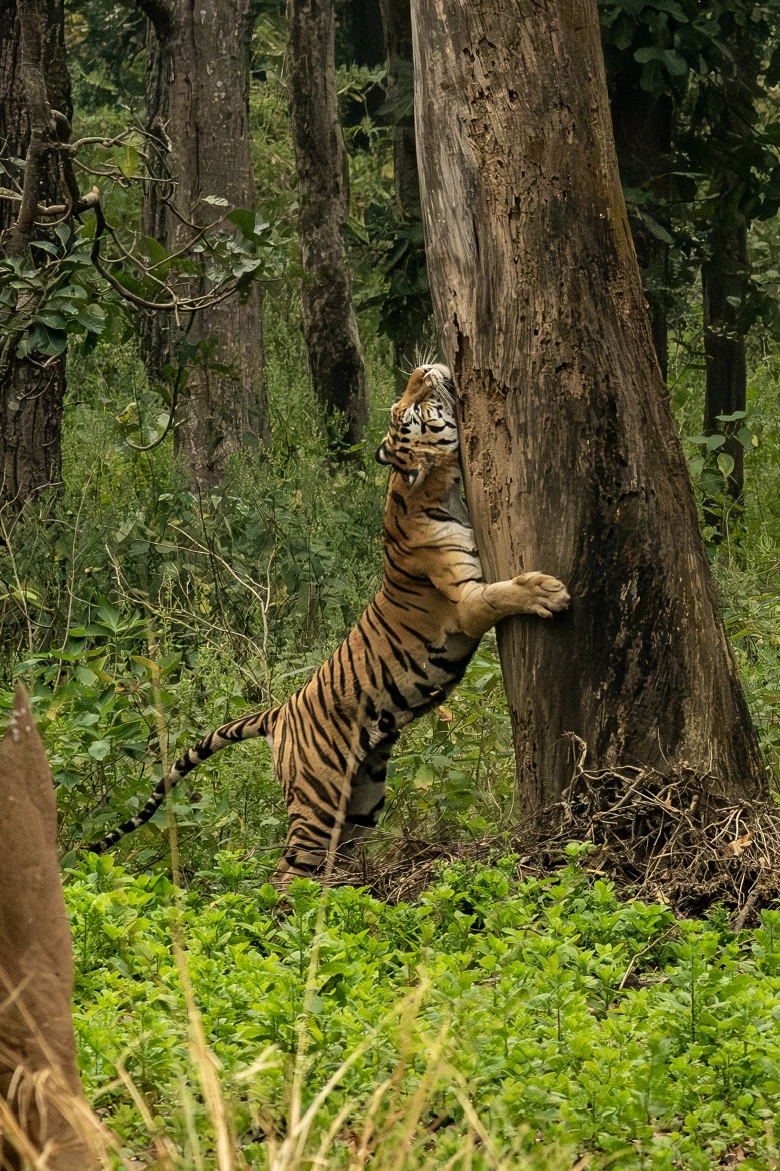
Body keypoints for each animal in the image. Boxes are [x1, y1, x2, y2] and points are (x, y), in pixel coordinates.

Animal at [86, 364, 570, 881]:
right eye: (411, 410)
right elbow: (502, 592)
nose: (424, 369)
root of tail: (278, 713)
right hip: (318, 799)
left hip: (362, 797)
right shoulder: (464, 602)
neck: (431, 486)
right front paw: (548, 592)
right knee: (287, 872)